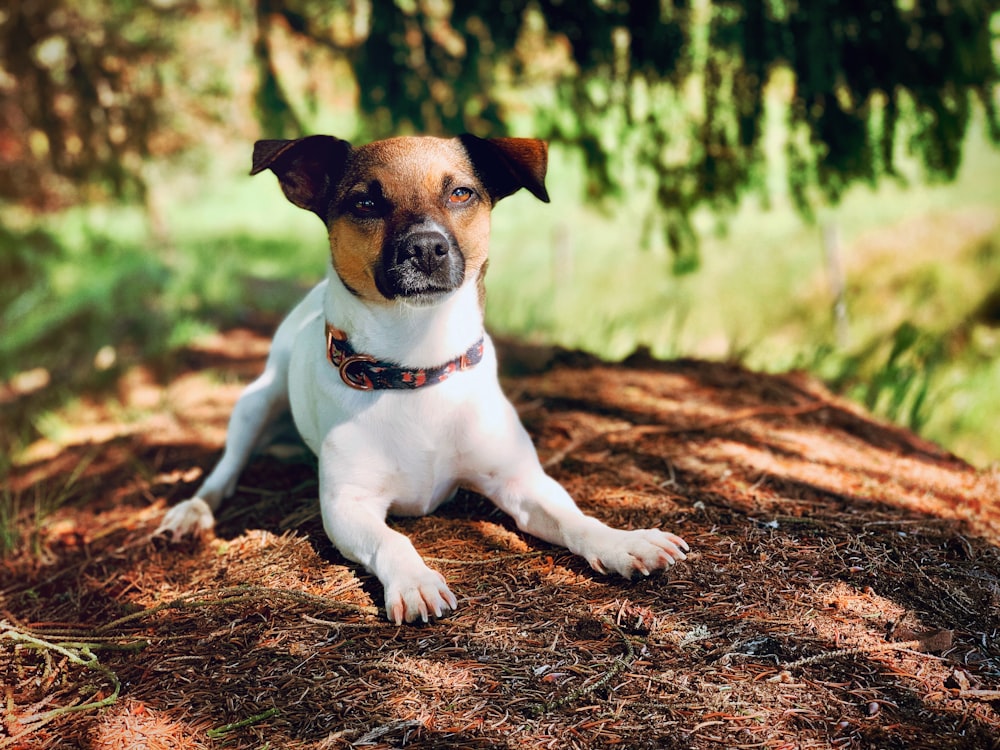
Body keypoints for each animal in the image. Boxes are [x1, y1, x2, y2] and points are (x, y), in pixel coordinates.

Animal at [154, 132, 688, 624]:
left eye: (461, 193)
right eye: (366, 202)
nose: (427, 247)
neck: (417, 368)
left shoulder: (520, 480)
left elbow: (575, 517)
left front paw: (622, 542)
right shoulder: (347, 505)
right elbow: (393, 540)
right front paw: (415, 580)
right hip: (255, 402)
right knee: (224, 472)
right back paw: (191, 513)